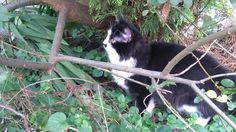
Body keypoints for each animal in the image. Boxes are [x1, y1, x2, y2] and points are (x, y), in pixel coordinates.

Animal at [102, 15, 235, 126]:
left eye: (113, 41)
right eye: (107, 36)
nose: (103, 43)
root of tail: (219, 73)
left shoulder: (144, 90)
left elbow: (143, 108)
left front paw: (138, 121)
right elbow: (150, 106)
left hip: (187, 99)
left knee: (210, 111)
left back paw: (194, 125)